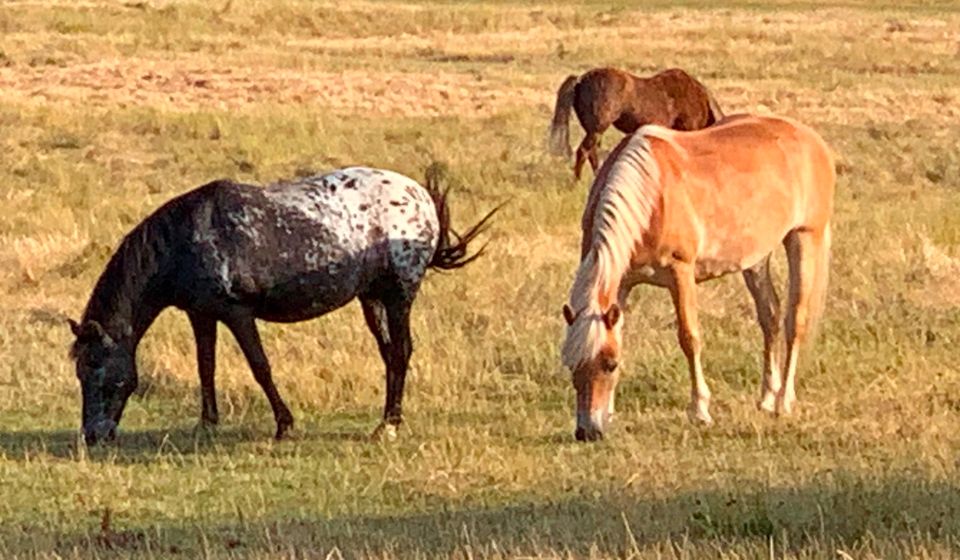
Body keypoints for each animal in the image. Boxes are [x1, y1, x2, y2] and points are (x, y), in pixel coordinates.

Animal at [68, 164, 498, 444]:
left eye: (97, 369)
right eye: (80, 372)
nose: (93, 435)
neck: (186, 238)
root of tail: (420, 196)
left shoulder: (237, 312)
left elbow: (260, 367)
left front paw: (284, 425)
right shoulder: (201, 313)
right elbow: (205, 367)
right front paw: (207, 423)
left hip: (399, 295)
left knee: (402, 351)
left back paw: (389, 425)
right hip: (372, 298)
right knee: (391, 354)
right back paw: (388, 420)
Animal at [560, 115, 836, 442]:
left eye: (609, 364)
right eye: (570, 365)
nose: (587, 431)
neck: (652, 196)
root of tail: (812, 139)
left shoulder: (681, 273)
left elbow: (689, 337)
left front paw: (700, 410)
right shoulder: (623, 283)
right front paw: (611, 414)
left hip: (804, 238)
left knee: (796, 320)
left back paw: (784, 402)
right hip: (756, 259)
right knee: (770, 317)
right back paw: (768, 397)